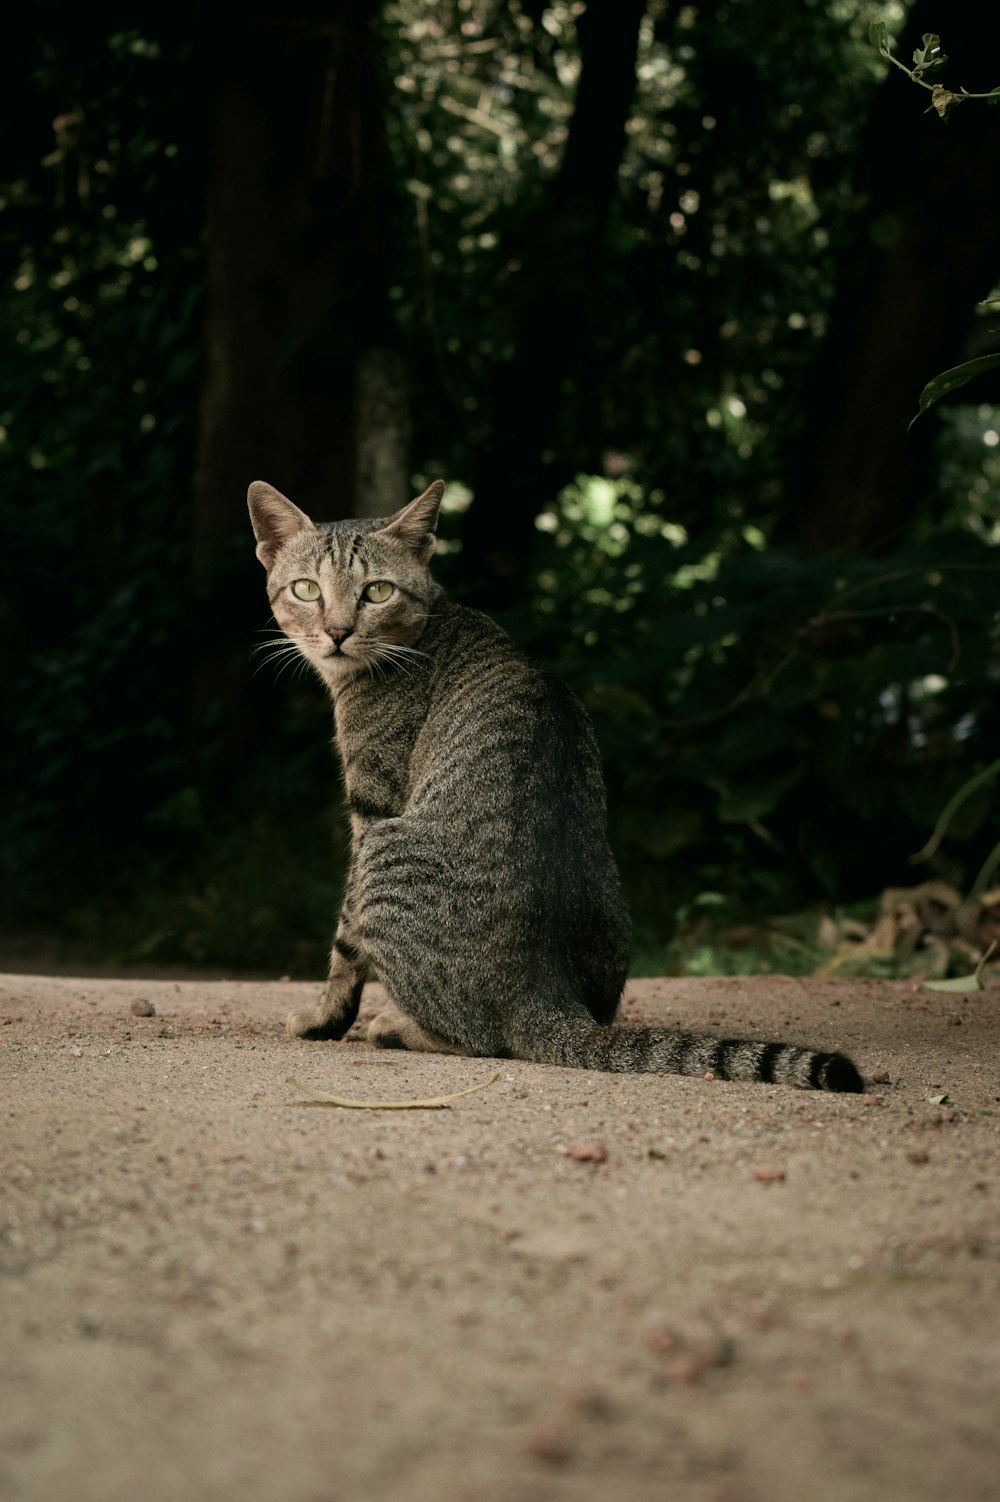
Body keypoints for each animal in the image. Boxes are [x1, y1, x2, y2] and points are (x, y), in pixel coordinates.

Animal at [244, 480, 858, 1093]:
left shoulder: (370, 807)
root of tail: (542, 990)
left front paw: (324, 1018)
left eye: (376, 592)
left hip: (383, 850)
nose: (337, 632)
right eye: (306, 589)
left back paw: (394, 1025)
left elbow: (345, 945)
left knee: (479, 1040)